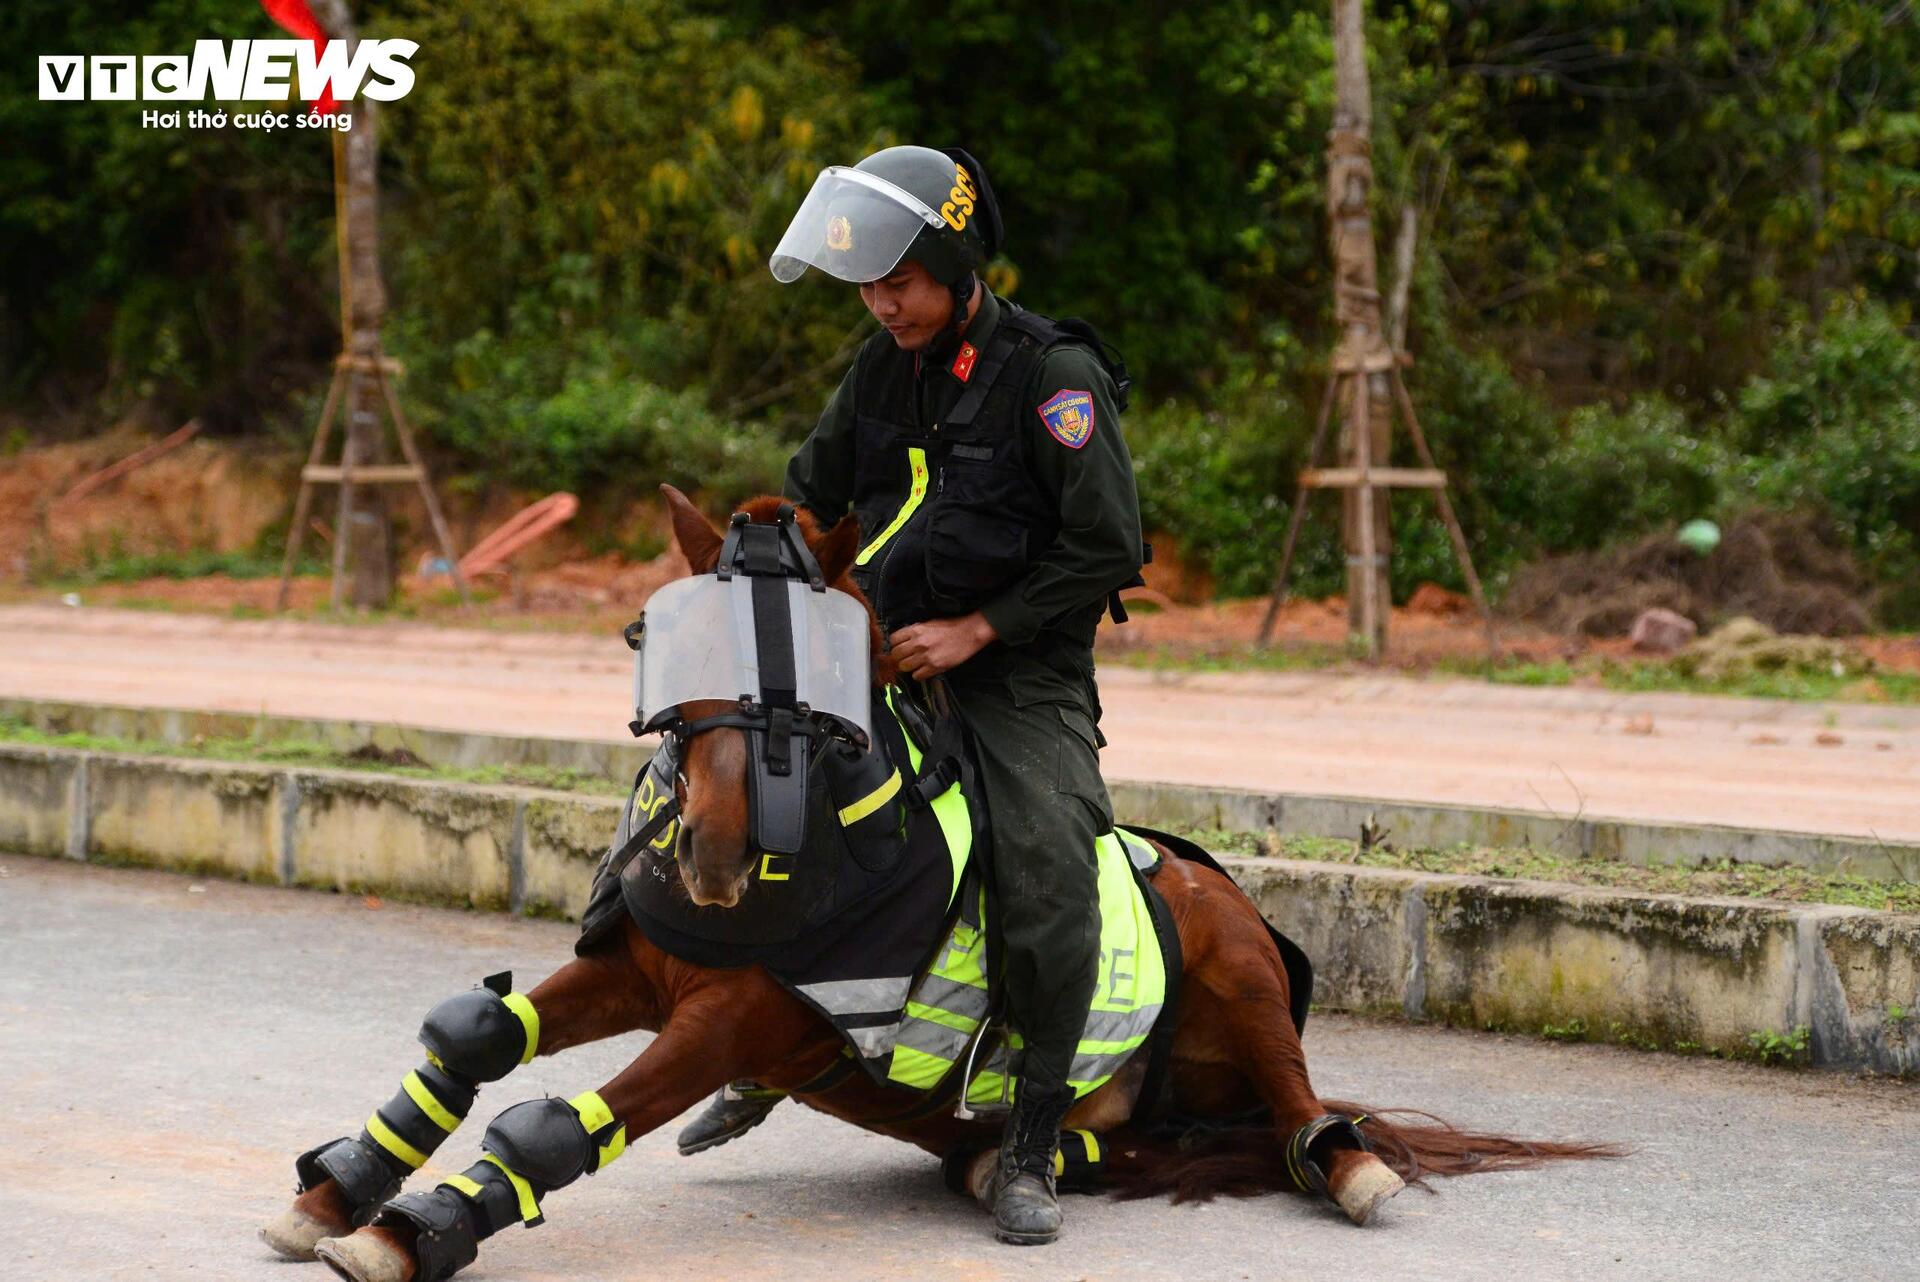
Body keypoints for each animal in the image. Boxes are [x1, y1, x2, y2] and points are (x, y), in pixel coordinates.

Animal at [270, 487, 1620, 1282]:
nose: (713, 854)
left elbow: (560, 1125)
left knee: (1304, 1117)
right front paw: (342, 1188)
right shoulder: (640, 967)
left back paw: (1326, 1168)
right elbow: (479, 1034)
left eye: (825, 674)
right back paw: (1024, 1156)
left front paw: (418, 1228)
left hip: (1234, 957)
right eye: (662, 638)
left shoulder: (734, 1018)